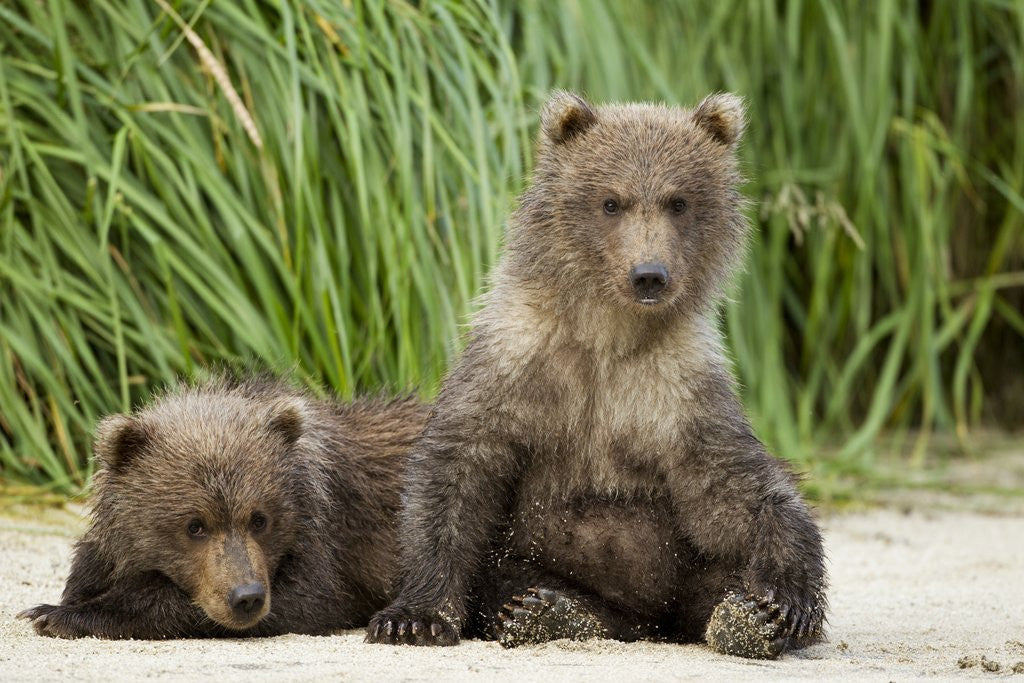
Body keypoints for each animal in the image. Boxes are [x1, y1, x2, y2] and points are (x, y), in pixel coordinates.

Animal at [18, 377, 428, 639]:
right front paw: (55, 605)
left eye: (260, 519)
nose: (246, 597)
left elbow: (306, 600)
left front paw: (60, 615)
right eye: (194, 525)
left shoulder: (326, 535)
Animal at [364, 91, 827, 659]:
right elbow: (457, 469)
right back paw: (546, 611)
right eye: (612, 202)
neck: (607, 337)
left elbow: (735, 487)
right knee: (507, 579)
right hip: (529, 556)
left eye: (678, 201)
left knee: (717, 578)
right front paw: (414, 618)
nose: (649, 275)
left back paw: (742, 619)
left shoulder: (681, 387)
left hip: (684, 575)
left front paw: (785, 600)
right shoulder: (512, 360)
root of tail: (646, 624)